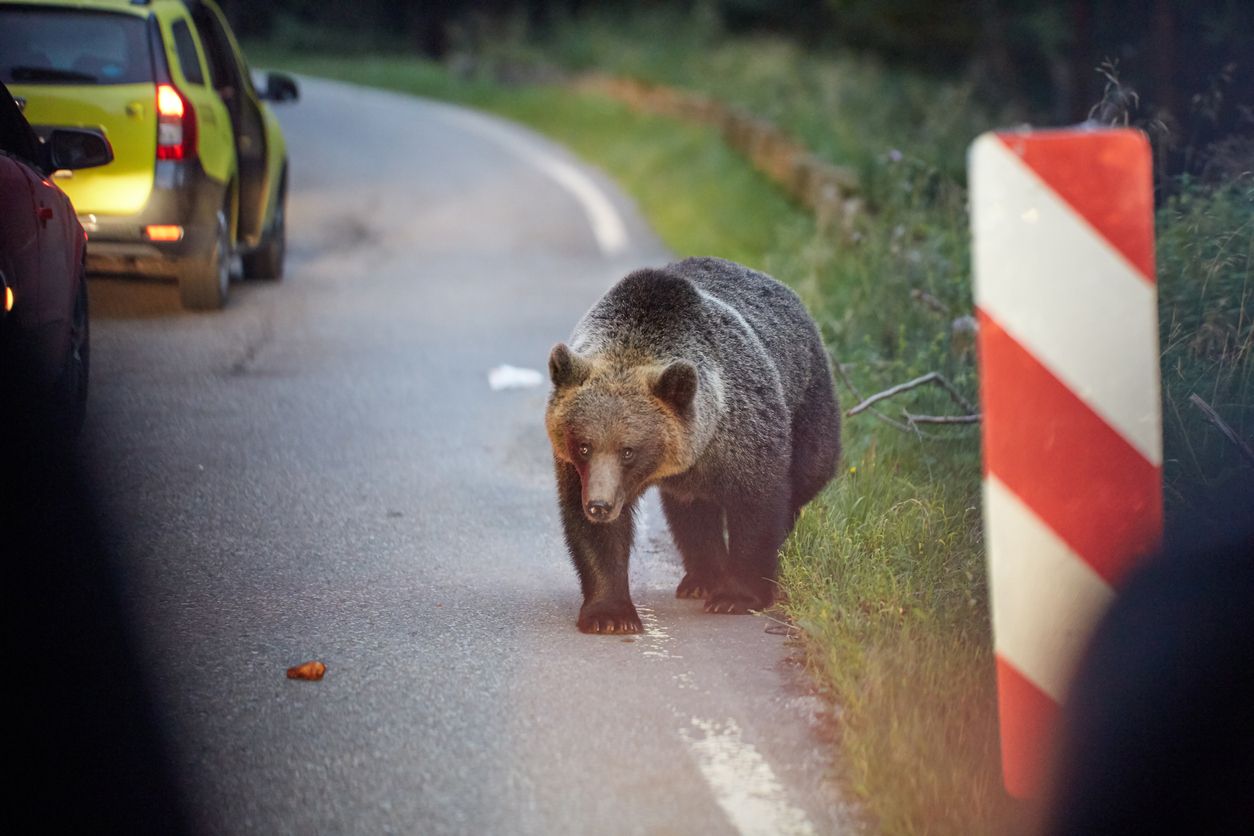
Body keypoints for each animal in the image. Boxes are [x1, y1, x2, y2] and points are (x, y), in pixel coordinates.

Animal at [545, 257, 841, 634]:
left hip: (808, 400)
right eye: (584, 445)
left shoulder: (743, 433)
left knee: (808, 473)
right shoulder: (578, 470)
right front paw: (609, 614)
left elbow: (757, 505)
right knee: (691, 512)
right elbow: (597, 534)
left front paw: (737, 596)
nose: (599, 505)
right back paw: (701, 578)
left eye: (628, 450)